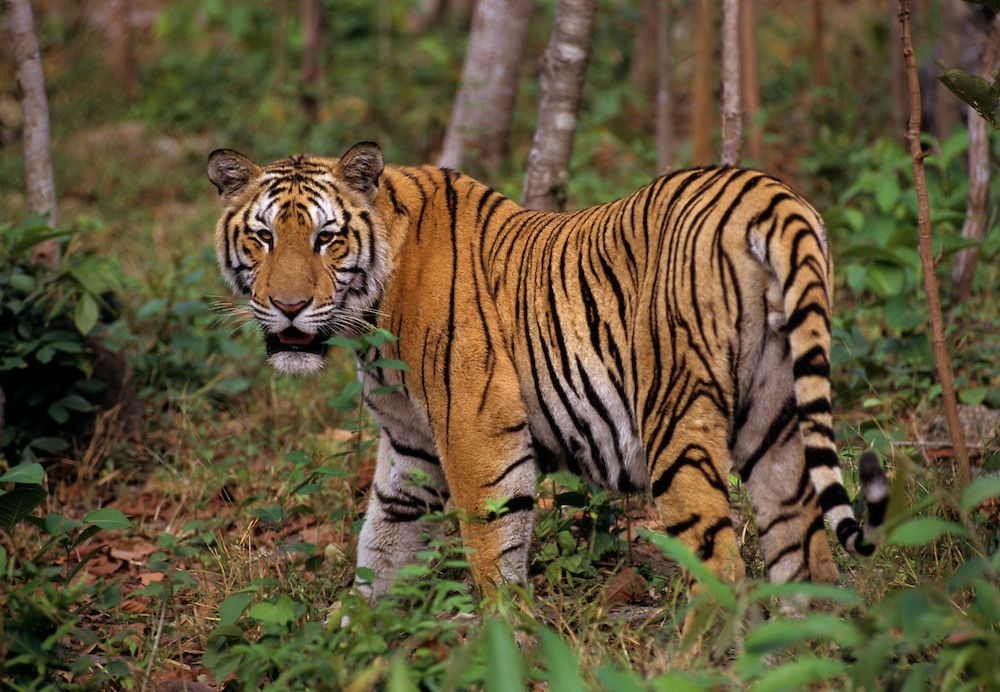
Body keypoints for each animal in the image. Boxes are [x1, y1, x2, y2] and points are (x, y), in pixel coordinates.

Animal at [207, 142, 888, 600]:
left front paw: (507, 641)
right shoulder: (409, 445)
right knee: (806, 559)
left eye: (326, 239)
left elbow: (492, 547)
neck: (371, 316)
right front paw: (354, 640)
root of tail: (770, 195)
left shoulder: (476, 429)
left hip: (676, 417)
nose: (289, 306)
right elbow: (383, 545)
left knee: (722, 567)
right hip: (776, 420)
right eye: (263, 237)